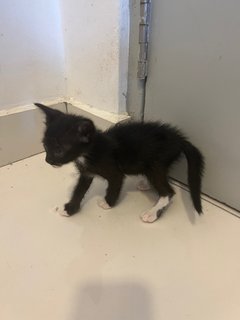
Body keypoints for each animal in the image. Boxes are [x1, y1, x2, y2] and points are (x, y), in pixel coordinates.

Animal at [35, 103, 204, 222]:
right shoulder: (86, 173)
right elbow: (79, 190)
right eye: (45, 146)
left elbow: (114, 185)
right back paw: (146, 184)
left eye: (59, 150)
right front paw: (70, 209)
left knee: (168, 192)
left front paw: (107, 203)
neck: (90, 151)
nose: (48, 160)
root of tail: (179, 139)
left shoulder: (114, 172)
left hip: (157, 162)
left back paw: (151, 213)